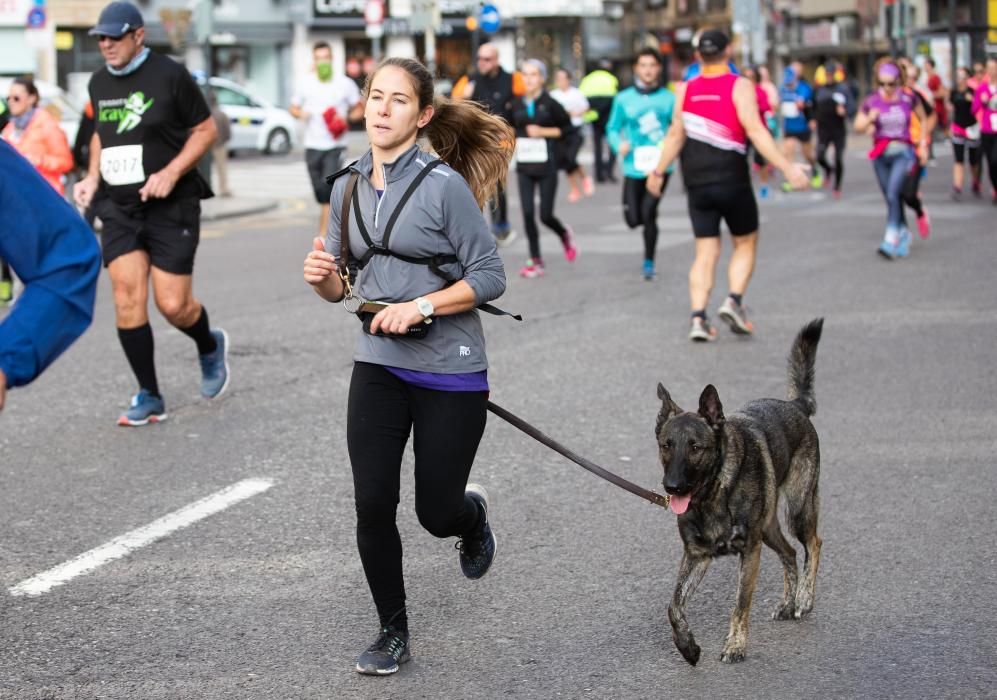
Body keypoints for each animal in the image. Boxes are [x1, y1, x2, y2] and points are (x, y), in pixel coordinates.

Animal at [652, 320, 824, 664]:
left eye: (696, 448)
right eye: (667, 445)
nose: (672, 487)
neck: (714, 493)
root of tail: (794, 406)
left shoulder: (750, 551)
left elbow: (740, 604)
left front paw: (735, 646)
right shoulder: (697, 555)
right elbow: (673, 606)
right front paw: (687, 646)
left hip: (798, 509)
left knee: (813, 543)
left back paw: (803, 599)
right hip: (769, 529)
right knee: (790, 553)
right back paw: (788, 603)